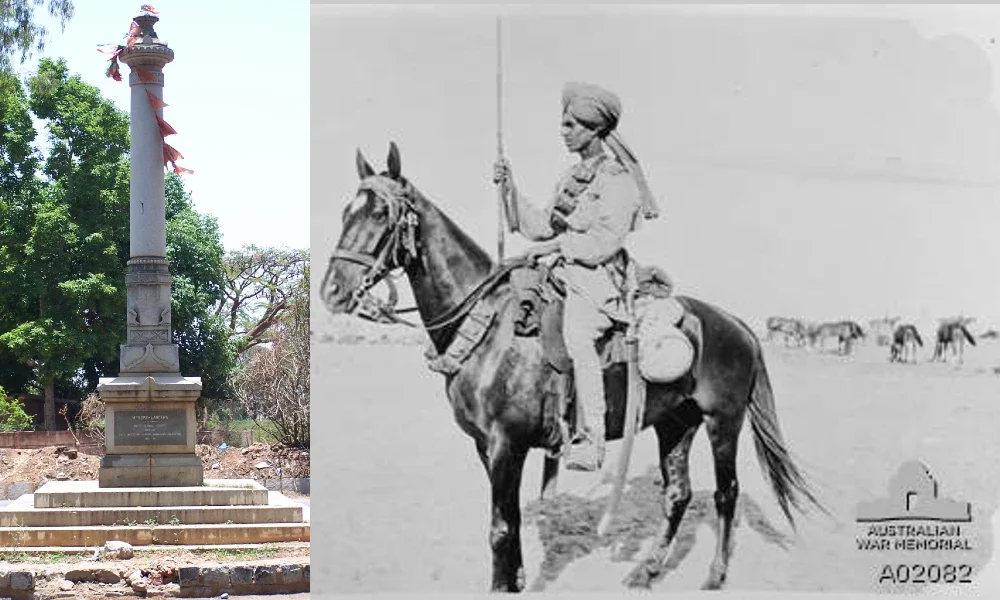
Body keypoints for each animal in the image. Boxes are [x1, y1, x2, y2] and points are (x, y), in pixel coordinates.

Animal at [324, 144, 824, 592]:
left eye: (380, 214)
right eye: (347, 212)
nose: (332, 290)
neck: (487, 324)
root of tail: (738, 324)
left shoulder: (507, 444)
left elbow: (499, 529)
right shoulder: (487, 447)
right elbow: (510, 521)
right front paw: (518, 579)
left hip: (724, 422)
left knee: (726, 493)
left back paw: (715, 575)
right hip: (675, 422)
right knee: (677, 494)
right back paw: (647, 571)